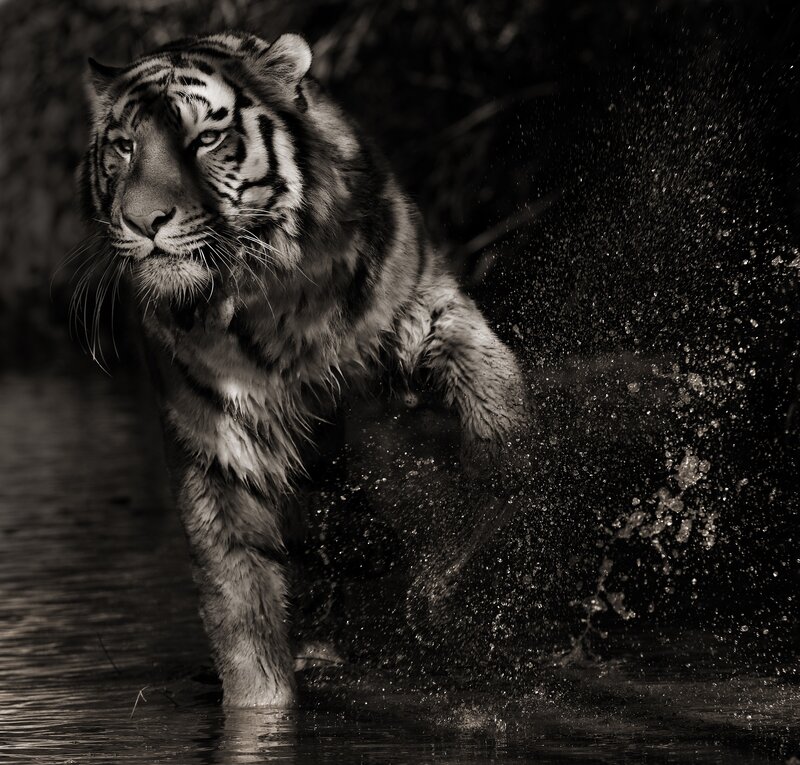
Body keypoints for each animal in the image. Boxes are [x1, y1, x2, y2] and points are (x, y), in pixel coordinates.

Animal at [80, 31, 531, 707]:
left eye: (204, 139)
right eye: (125, 147)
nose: (143, 221)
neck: (273, 301)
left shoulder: (424, 305)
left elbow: (490, 392)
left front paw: (497, 502)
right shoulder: (219, 446)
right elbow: (244, 624)